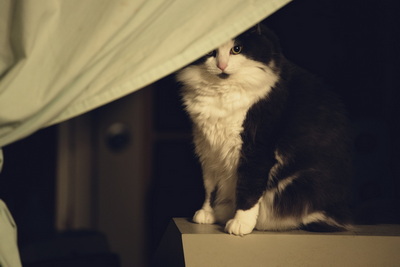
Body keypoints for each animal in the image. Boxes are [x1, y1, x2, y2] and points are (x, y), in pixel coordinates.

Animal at [177, 23, 352, 237]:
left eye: (237, 49)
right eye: (211, 52)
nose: (222, 65)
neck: (221, 93)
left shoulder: (256, 148)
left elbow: (248, 188)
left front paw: (240, 223)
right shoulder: (208, 150)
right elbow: (210, 187)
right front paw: (207, 213)